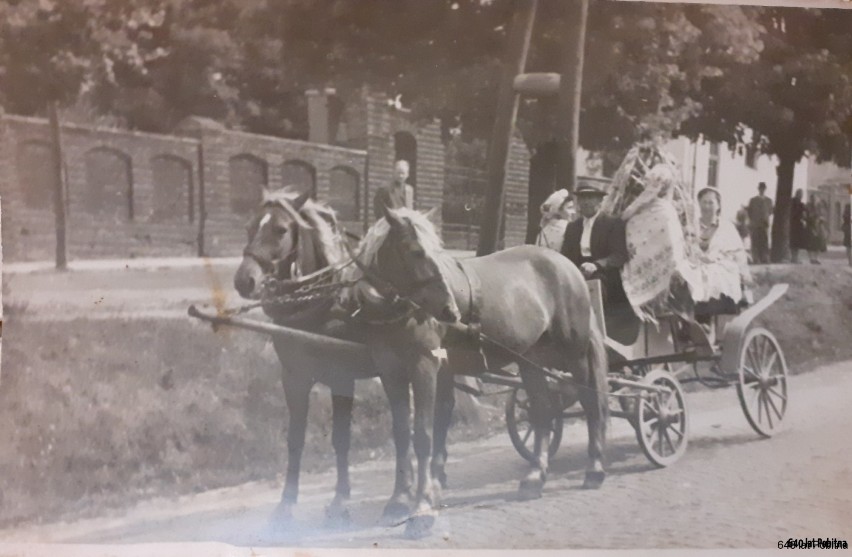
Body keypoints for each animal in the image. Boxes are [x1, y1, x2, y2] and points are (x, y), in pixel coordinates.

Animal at [342, 206, 608, 528]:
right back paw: (535, 477)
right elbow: (403, 434)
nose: (450, 310)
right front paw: (399, 501)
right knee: (543, 412)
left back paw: (594, 469)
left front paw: (422, 505)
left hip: (575, 354)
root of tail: (568, 266)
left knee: (591, 403)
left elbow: (424, 434)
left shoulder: (424, 366)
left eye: (437, 250)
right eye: (415, 251)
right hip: (531, 359)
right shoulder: (390, 371)